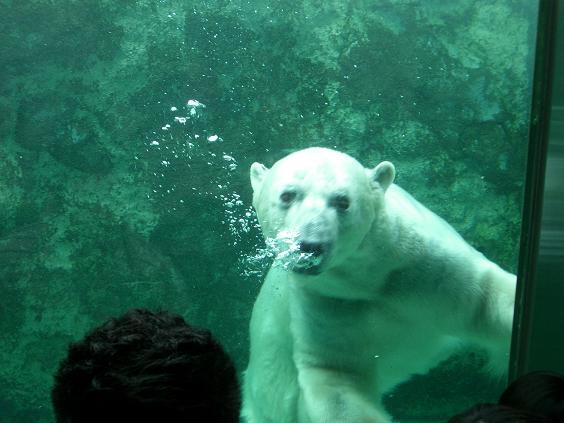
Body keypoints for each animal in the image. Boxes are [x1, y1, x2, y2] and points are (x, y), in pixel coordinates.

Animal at [242, 147, 516, 422]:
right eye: (288, 195)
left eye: (343, 201)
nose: (310, 245)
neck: (369, 279)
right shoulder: (330, 300)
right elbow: (337, 375)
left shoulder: (421, 264)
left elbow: (485, 298)